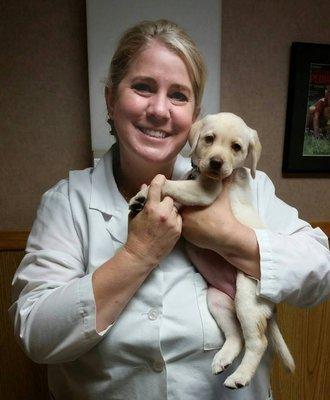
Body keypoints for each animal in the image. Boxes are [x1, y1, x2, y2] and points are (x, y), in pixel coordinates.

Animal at [129, 111, 294, 388]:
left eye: (236, 147)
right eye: (209, 139)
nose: (216, 163)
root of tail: (272, 309)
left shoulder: (205, 192)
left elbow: (169, 184)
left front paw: (146, 192)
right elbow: (174, 188)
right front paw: (142, 197)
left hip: (247, 299)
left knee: (257, 342)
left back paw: (239, 377)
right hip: (218, 301)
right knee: (236, 336)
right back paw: (223, 360)